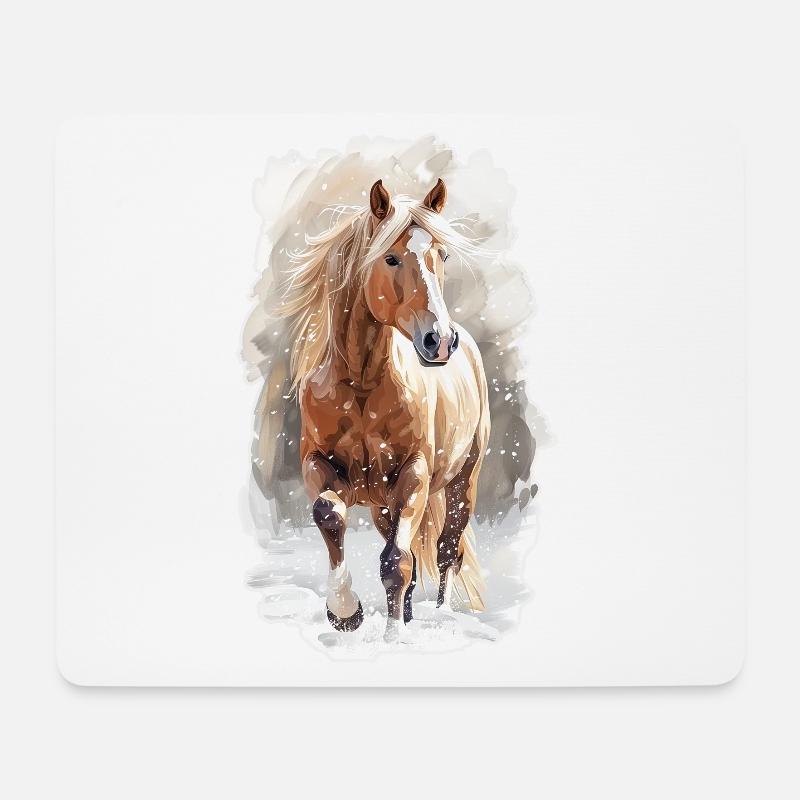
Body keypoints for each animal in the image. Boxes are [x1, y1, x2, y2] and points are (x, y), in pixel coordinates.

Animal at [273, 178, 490, 642]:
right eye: (390, 257)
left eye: (442, 255)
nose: (439, 340)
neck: (361, 386)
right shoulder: (316, 464)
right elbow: (329, 514)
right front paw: (344, 612)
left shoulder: (414, 475)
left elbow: (397, 563)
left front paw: (391, 639)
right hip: (381, 506)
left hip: (462, 481)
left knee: (446, 550)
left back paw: (438, 618)